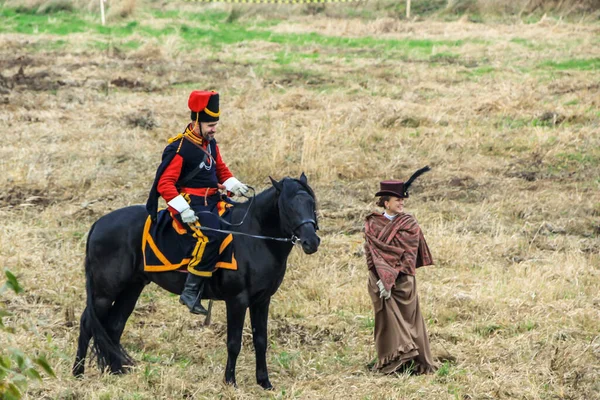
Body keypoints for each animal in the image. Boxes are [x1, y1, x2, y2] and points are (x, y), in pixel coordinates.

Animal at [72, 173, 322, 390]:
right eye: (288, 206)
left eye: (311, 203)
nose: (311, 242)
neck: (255, 237)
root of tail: (98, 224)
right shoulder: (237, 300)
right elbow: (234, 342)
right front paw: (230, 382)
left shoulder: (262, 300)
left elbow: (261, 341)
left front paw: (264, 382)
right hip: (104, 292)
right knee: (87, 323)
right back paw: (78, 372)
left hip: (132, 288)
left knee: (114, 325)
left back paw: (116, 371)